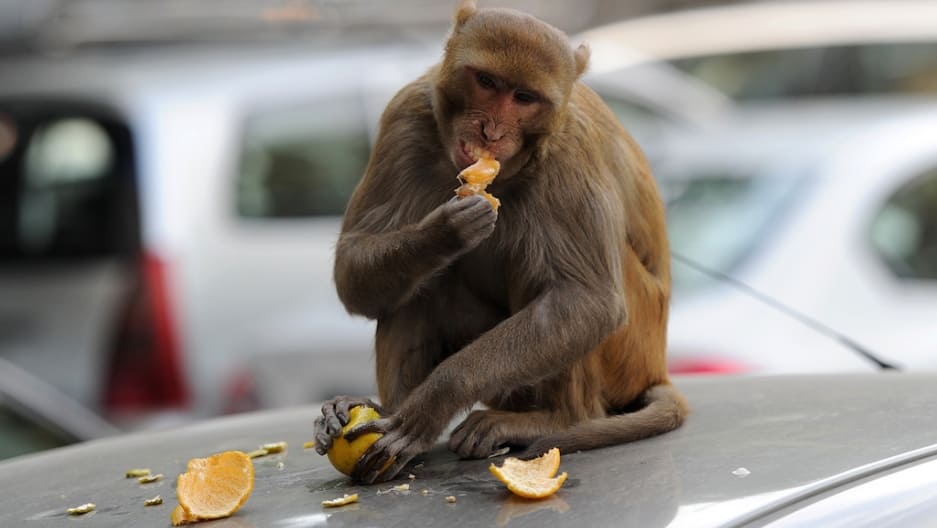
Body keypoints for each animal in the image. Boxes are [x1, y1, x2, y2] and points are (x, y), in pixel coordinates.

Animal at [314, 0, 688, 484]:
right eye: (488, 82)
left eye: (524, 98)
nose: (490, 132)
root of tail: (656, 366)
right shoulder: (405, 117)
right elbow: (352, 267)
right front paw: (441, 234)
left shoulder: (569, 151)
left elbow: (588, 300)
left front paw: (432, 403)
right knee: (420, 286)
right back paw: (387, 411)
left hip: (628, 355)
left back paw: (555, 418)